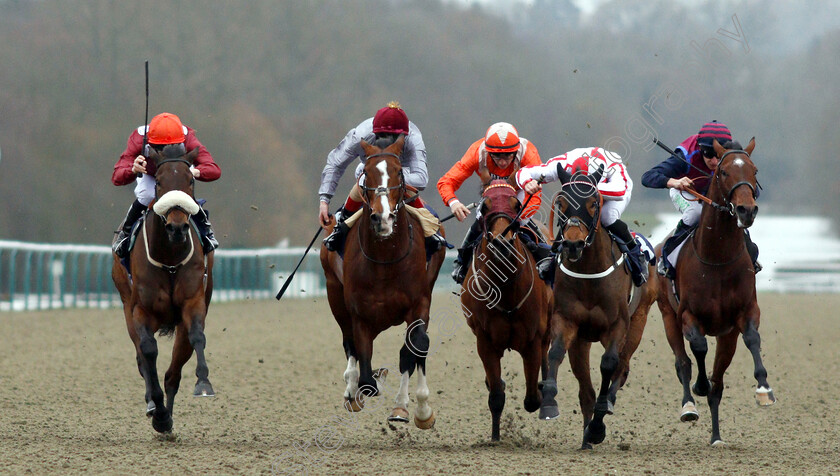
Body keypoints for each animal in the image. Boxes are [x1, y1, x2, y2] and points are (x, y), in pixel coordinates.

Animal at [110, 143, 215, 434]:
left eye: (191, 181)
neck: (169, 258)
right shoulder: (140, 311)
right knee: (142, 358)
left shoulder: (193, 303)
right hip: (126, 307)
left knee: (173, 371)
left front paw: (203, 383)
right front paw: (156, 409)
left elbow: (197, 337)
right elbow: (148, 352)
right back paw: (155, 408)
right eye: (158, 181)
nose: (177, 227)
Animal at [456, 179, 556, 442]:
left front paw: (541, 393)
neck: (506, 287)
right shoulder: (485, 341)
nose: (502, 243)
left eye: (517, 205)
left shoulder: (532, 340)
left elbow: (531, 398)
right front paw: (495, 436)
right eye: (485, 205)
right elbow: (496, 395)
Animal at [540, 166, 656, 450]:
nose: (573, 245)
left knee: (621, 368)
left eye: (593, 203)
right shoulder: (566, 320)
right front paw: (548, 403)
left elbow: (609, 364)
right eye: (561, 204)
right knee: (586, 389)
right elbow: (555, 353)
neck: (589, 273)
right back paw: (585, 438)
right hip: (582, 340)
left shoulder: (618, 326)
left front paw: (597, 426)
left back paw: (602, 414)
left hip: (638, 322)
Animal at [652, 138, 776, 446]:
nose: (746, 210)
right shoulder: (688, 315)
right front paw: (699, 385)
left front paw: (764, 389)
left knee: (718, 383)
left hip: (726, 336)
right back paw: (689, 405)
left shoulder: (745, 313)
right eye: (724, 172)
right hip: (667, 315)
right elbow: (697, 349)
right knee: (682, 362)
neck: (717, 258)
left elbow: (753, 339)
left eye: (754, 170)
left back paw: (716, 437)